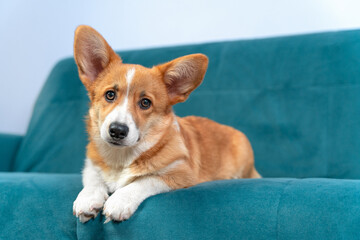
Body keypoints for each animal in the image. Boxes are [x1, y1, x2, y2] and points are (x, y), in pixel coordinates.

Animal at [72, 25, 258, 222]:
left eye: (145, 103)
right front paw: (88, 198)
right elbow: (93, 178)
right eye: (110, 95)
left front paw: (119, 201)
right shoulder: (91, 165)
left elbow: (144, 180)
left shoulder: (181, 174)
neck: (120, 158)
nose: (117, 130)